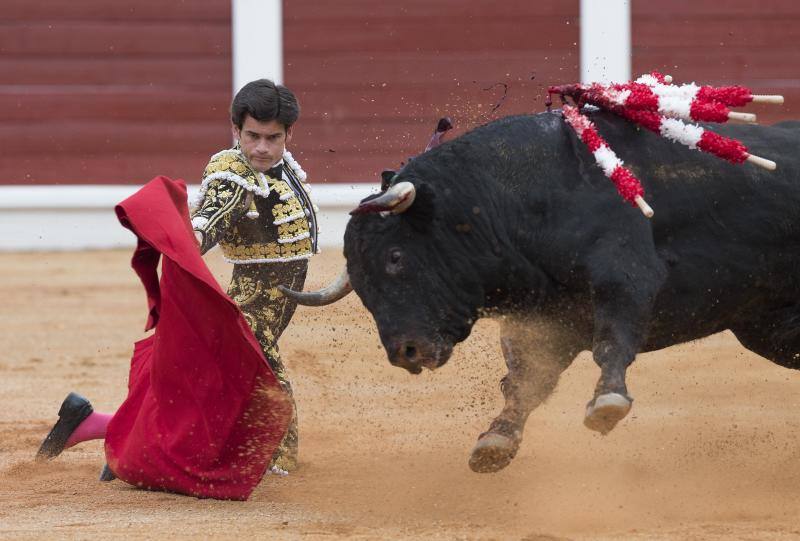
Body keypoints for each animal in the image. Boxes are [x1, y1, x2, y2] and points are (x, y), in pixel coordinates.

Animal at [282, 110, 800, 472]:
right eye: (361, 285)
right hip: (770, 331)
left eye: (395, 257)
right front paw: (496, 441)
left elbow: (611, 343)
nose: (405, 352)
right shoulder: (547, 319)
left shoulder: (626, 274)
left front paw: (606, 404)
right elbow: (525, 381)